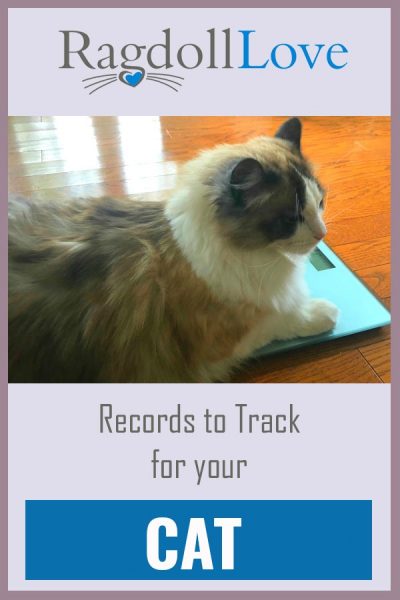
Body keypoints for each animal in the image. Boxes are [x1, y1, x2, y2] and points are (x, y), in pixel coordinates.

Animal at [7, 115, 338, 382]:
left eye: (320, 203)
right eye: (291, 219)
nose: (322, 234)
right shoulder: (219, 344)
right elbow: (283, 317)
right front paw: (324, 313)